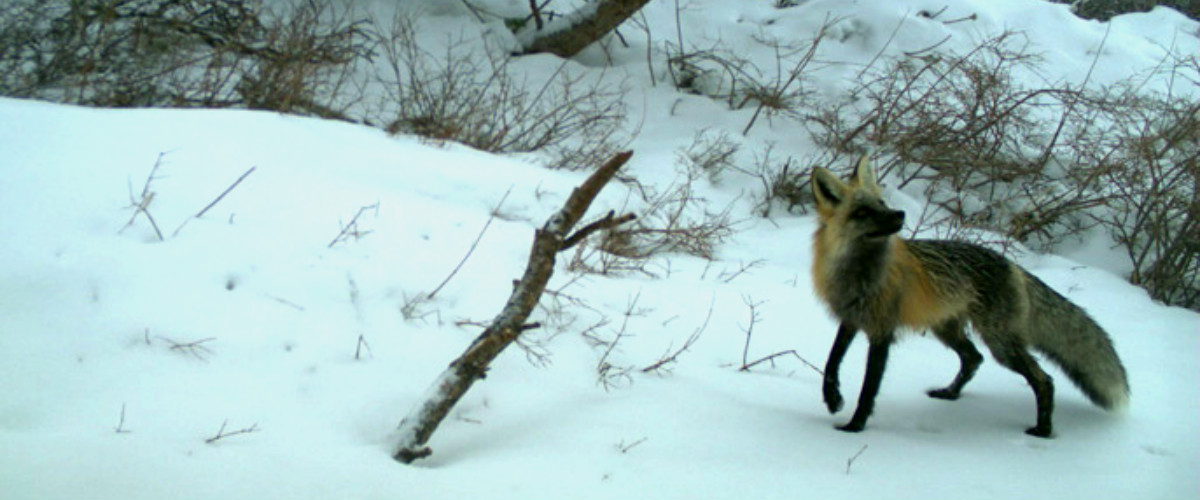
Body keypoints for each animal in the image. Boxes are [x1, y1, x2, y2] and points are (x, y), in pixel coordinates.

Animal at [811, 155, 1128, 436]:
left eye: (882, 203)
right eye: (862, 212)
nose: (900, 214)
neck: (859, 276)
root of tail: (1012, 265)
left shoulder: (881, 331)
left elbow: (868, 388)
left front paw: (854, 427)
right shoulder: (851, 319)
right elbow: (831, 362)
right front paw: (832, 399)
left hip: (1000, 344)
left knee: (1044, 379)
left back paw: (1043, 430)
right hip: (947, 330)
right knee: (974, 358)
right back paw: (950, 394)